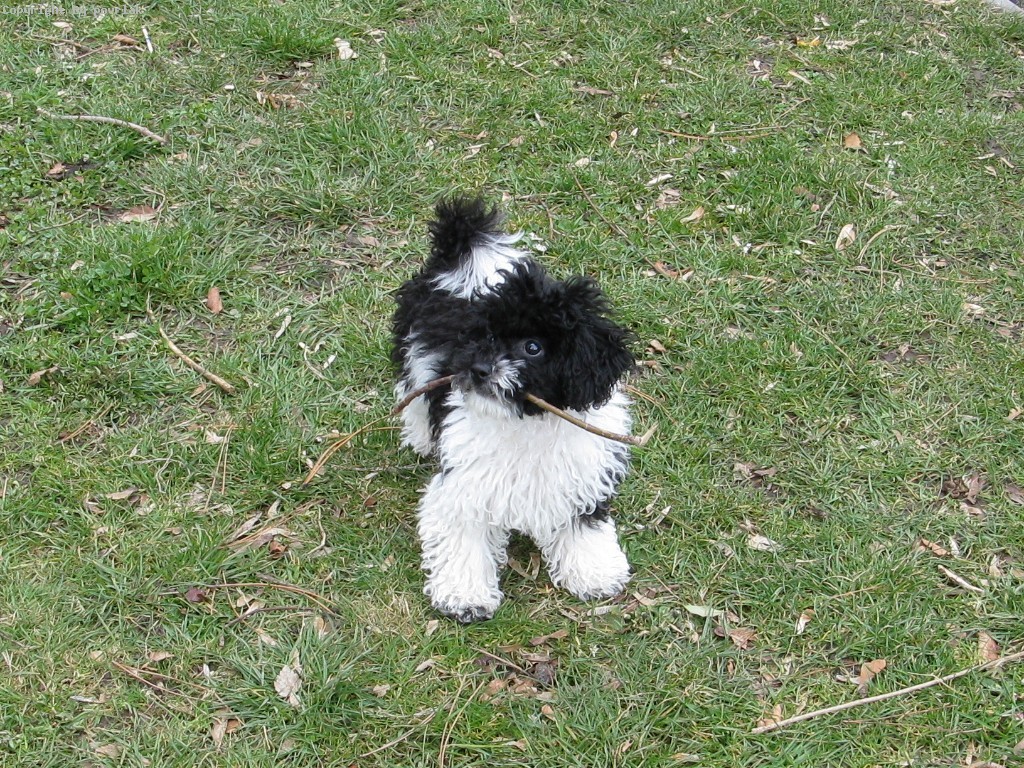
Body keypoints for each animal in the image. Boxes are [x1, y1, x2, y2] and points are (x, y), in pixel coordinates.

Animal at [391, 196, 635, 622]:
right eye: (486, 336)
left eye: (532, 347)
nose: (478, 369)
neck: (524, 423)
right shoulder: (463, 485)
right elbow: (463, 535)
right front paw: (465, 595)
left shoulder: (580, 476)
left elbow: (583, 521)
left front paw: (594, 572)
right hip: (413, 349)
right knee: (412, 389)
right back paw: (420, 435)